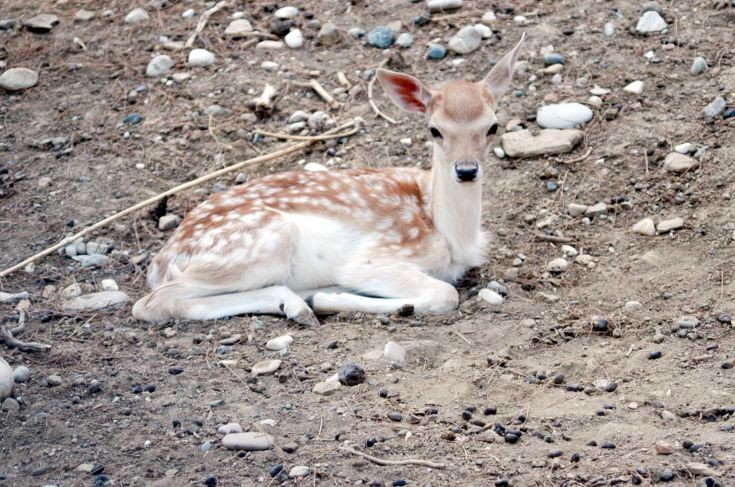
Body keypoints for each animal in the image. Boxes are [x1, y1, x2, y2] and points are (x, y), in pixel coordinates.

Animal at [132, 34, 524, 324]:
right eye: (434, 130)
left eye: (493, 126)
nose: (466, 170)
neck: (447, 233)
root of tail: (160, 264)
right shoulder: (373, 258)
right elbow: (445, 293)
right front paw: (330, 298)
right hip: (260, 243)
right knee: (153, 303)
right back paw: (305, 303)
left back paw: (296, 302)